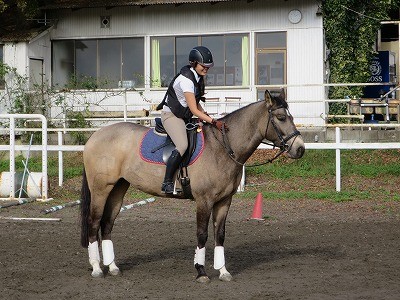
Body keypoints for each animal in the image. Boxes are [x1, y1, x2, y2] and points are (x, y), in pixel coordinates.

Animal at [79, 89, 304, 282]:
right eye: (281, 118)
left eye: (291, 116)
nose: (300, 149)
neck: (222, 147)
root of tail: (95, 136)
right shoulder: (204, 201)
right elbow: (202, 234)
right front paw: (201, 271)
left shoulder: (224, 201)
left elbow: (220, 234)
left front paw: (223, 271)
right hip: (101, 189)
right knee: (94, 222)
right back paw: (97, 268)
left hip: (118, 187)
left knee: (107, 223)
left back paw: (113, 267)